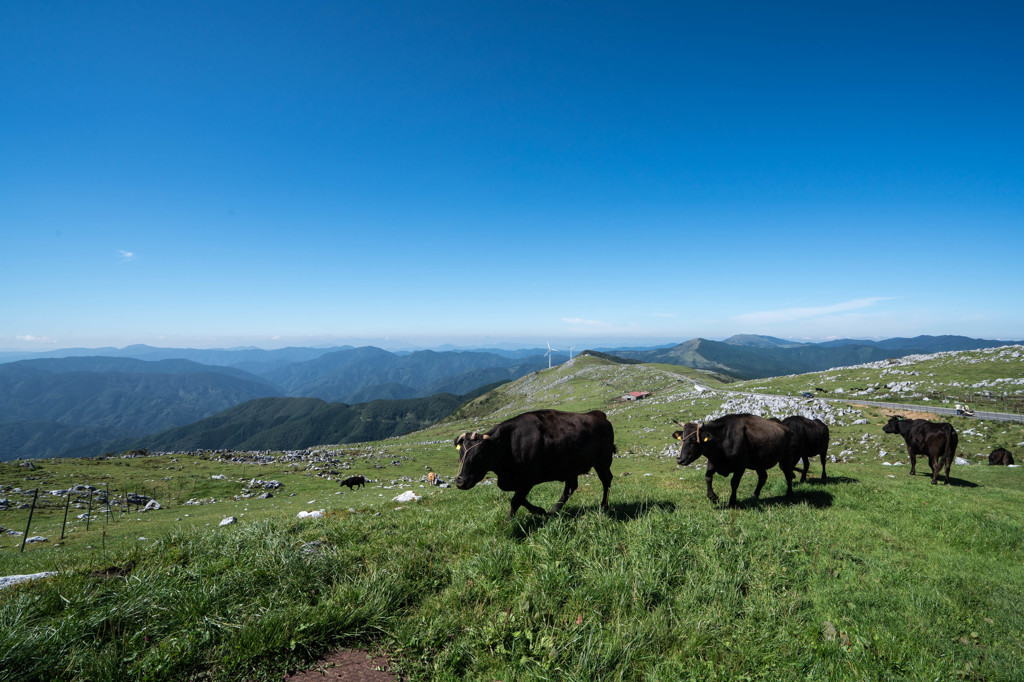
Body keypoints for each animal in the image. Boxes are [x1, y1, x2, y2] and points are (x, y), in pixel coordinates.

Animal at [456, 409, 614, 516]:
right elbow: (519, 498)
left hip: (603, 461)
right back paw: (554, 510)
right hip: (570, 467)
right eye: (461, 453)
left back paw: (603, 506)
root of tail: (598, 414)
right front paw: (540, 511)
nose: (460, 482)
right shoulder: (514, 481)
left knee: (606, 480)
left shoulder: (528, 479)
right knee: (570, 487)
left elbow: (516, 500)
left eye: (479, 455)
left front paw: (508, 522)